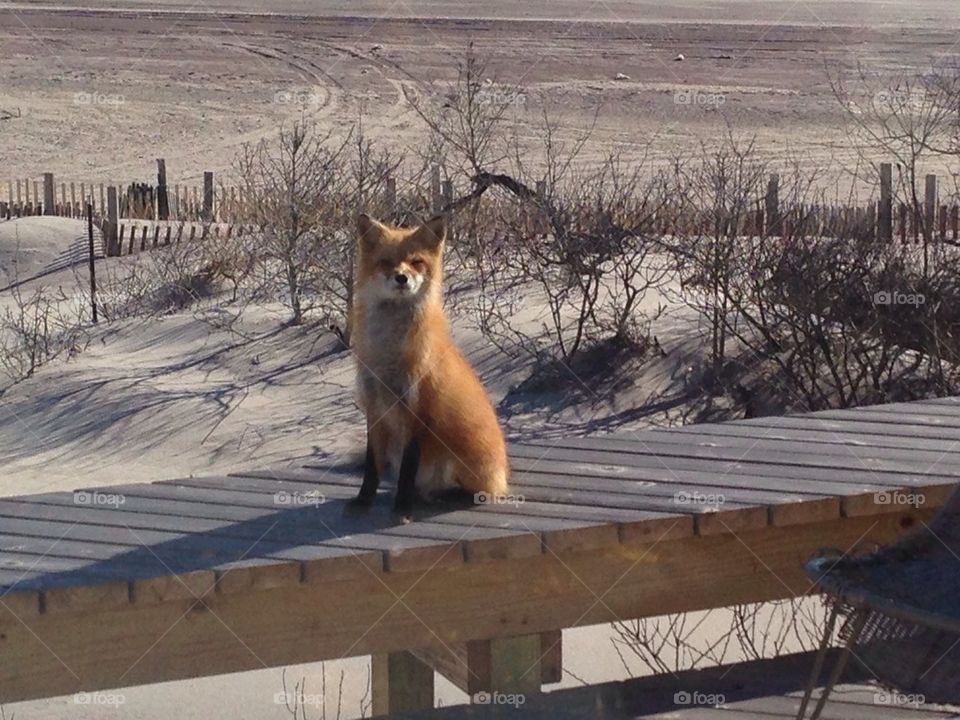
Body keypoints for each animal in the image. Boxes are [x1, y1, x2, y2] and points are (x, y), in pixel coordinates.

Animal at [348, 213, 509, 516]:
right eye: (386, 262)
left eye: (416, 262)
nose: (401, 277)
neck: (388, 353)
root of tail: (504, 470)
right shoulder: (374, 407)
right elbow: (371, 466)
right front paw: (363, 501)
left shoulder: (418, 408)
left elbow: (408, 468)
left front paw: (402, 508)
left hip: (458, 461)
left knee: (480, 492)